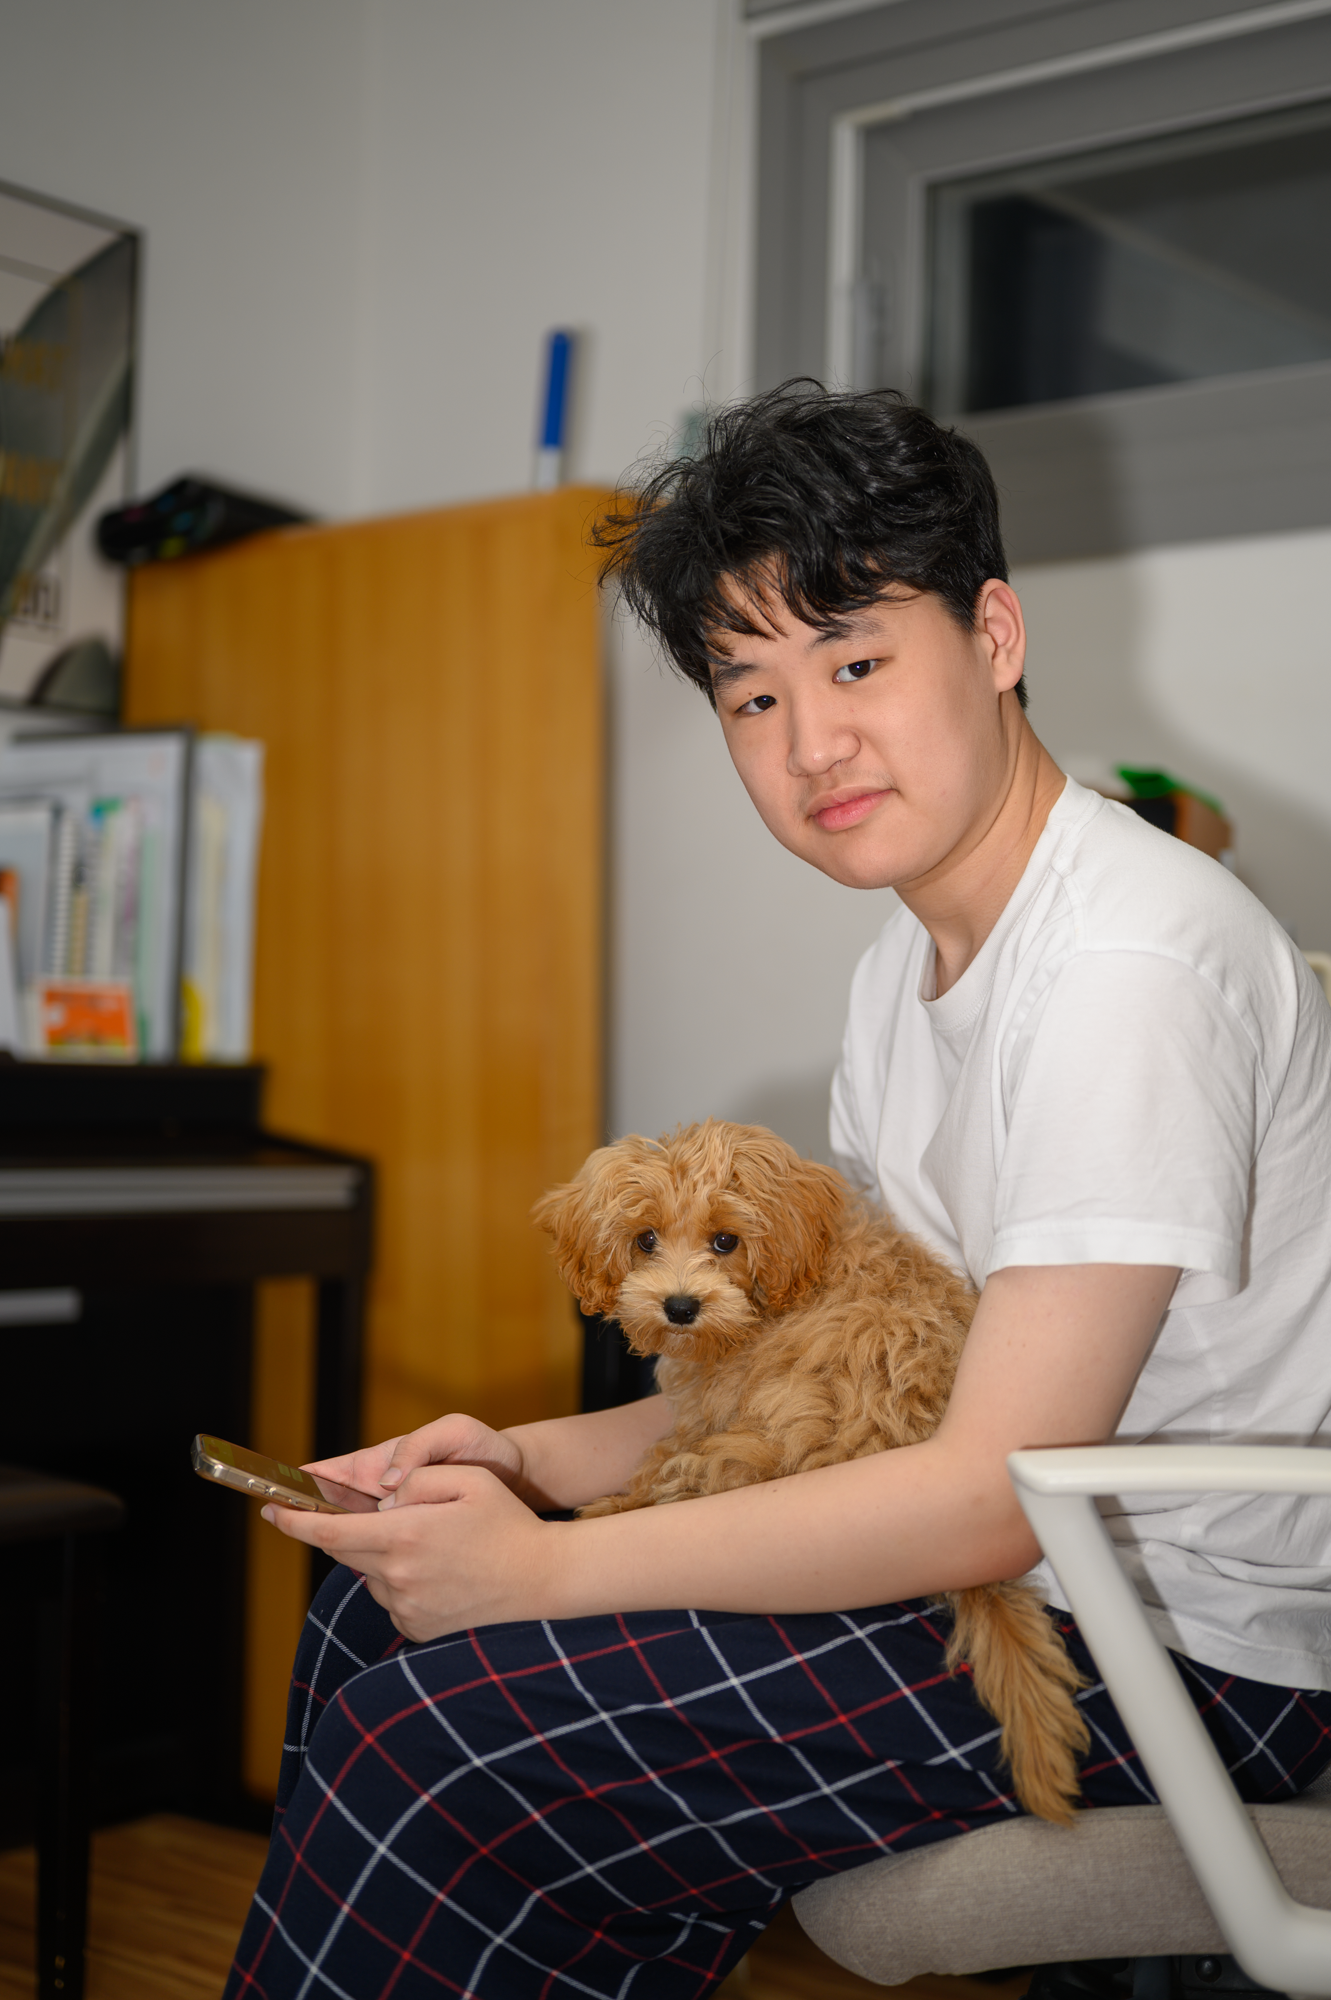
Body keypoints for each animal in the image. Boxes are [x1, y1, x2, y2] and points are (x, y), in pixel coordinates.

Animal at [534, 1118, 1088, 1824]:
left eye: (726, 1241)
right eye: (645, 1239)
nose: (680, 1306)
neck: (793, 1281)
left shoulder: (718, 1417)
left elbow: (664, 1458)